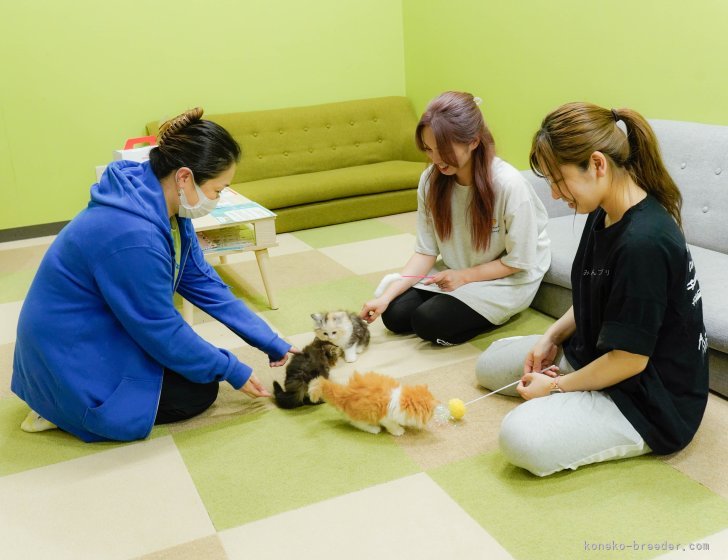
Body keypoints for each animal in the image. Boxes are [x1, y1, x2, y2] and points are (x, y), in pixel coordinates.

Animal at [308, 372, 438, 438]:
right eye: (431, 413)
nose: (435, 413)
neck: (400, 399)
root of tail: (343, 394)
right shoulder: (386, 418)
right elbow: (392, 426)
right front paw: (399, 431)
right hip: (362, 415)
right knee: (356, 423)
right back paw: (374, 429)